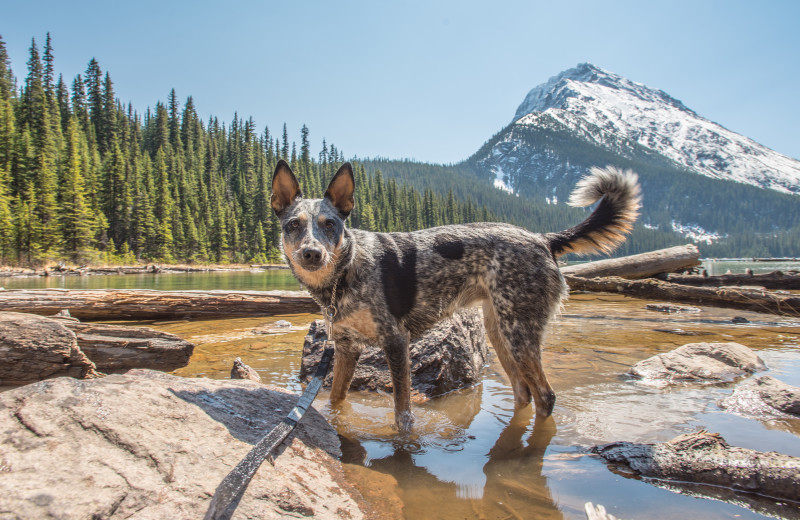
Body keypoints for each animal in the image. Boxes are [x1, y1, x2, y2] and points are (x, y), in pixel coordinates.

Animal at [272, 159, 640, 430]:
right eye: (293, 225)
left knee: (545, 396)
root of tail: (542, 238)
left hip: (519, 334)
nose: (311, 253)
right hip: (500, 331)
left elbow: (402, 413)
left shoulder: (396, 342)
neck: (346, 273)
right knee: (523, 392)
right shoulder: (347, 348)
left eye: (330, 224)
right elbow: (336, 400)